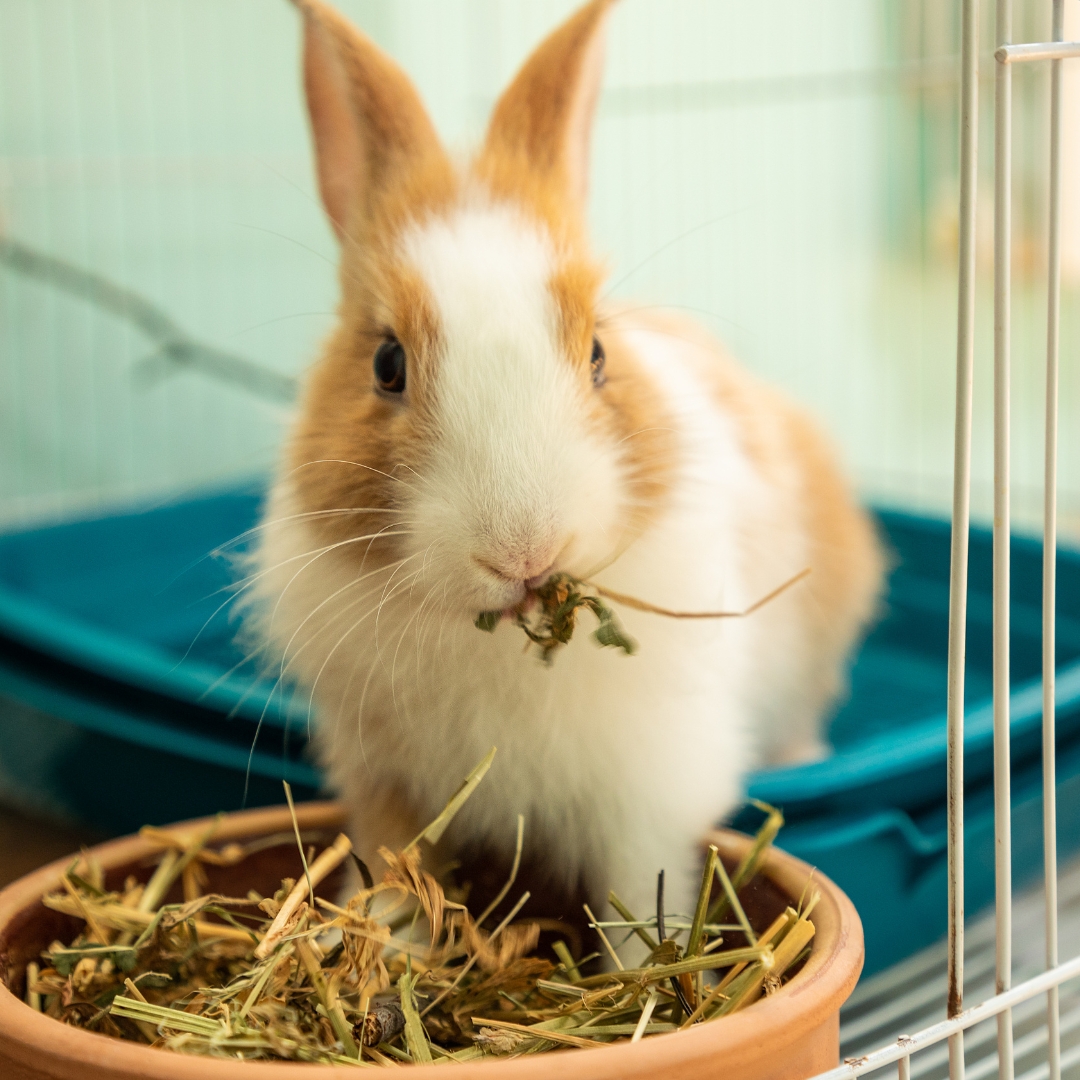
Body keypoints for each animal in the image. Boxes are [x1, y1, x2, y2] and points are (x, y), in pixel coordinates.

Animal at [248, 0, 884, 943]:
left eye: (597, 354)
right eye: (387, 364)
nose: (525, 552)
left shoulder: (644, 799)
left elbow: (638, 908)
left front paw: (652, 971)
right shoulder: (387, 785)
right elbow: (400, 884)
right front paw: (392, 949)